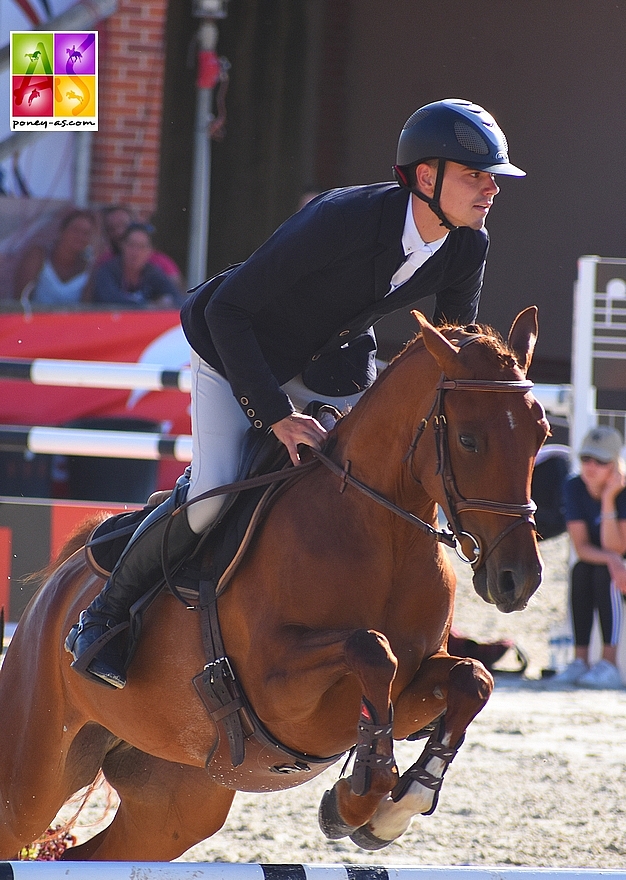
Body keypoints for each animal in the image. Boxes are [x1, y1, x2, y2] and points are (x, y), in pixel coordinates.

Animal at [0, 308, 544, 860]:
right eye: (469, 439)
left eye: (540, 434)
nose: (517, 580)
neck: (382, 532)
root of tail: (59, 588)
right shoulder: (277, 688)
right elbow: (372, 648)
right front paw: (356, 799)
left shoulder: (412, 688)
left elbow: (472, 678)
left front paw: (395, 806)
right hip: (29, 782)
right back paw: (96, 633)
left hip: (175, 800)